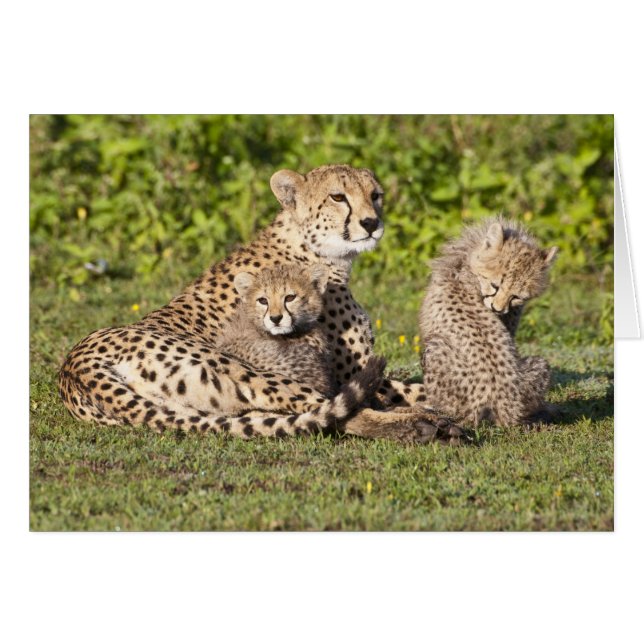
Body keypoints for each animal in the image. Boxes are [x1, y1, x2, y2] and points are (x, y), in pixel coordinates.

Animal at [59, 164, 462, 442]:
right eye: (338, 197)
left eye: (375, 195)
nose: (371, 223)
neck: (314, 249)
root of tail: (74, 368)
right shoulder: (348, 370)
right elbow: (408, 389)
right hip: (244, 370)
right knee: (335, 411)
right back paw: (426, 426)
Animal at [419, 216, 558, 427]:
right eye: (495, 285)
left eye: (516, 296)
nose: (498, 309)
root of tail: (503, 406)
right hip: (538, 364)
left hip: (435, 347)